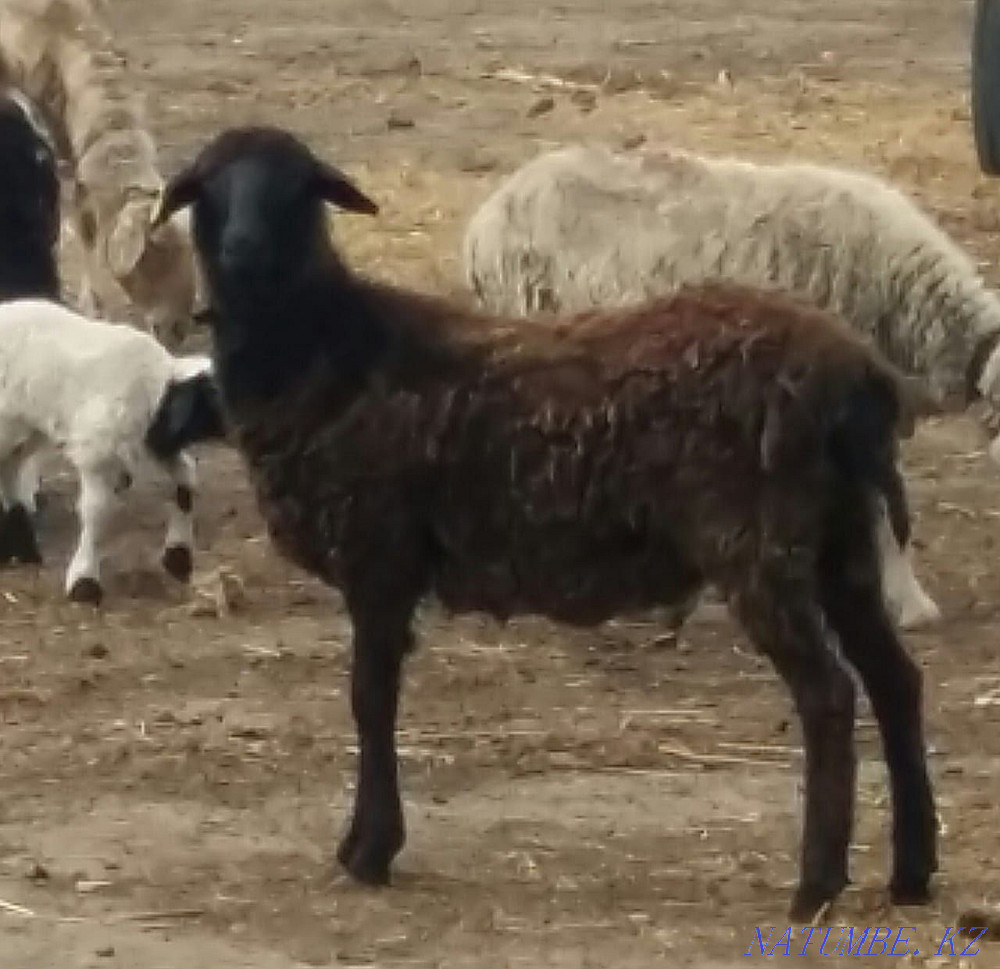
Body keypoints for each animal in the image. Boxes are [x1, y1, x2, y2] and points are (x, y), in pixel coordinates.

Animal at [0, 298, 226, 604]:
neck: (153, 386)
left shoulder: (151, 442)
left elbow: (185, 480)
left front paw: (178, 556)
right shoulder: (98, 451)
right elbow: (98, 511)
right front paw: (84, 581)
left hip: (23, 427)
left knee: (10, 470)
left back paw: (23, 550)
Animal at [152, 126, 938, 921]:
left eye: (298, 187)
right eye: (208, 186)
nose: (244, 249)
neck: (329, 346)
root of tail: (857, 376)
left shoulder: (380, 555)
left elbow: (370, 701)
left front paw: (370, 851)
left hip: (757, 544)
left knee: (829, 694)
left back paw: (816, 884)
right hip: (840, 541)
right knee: (896, 681)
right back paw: (912, 872)